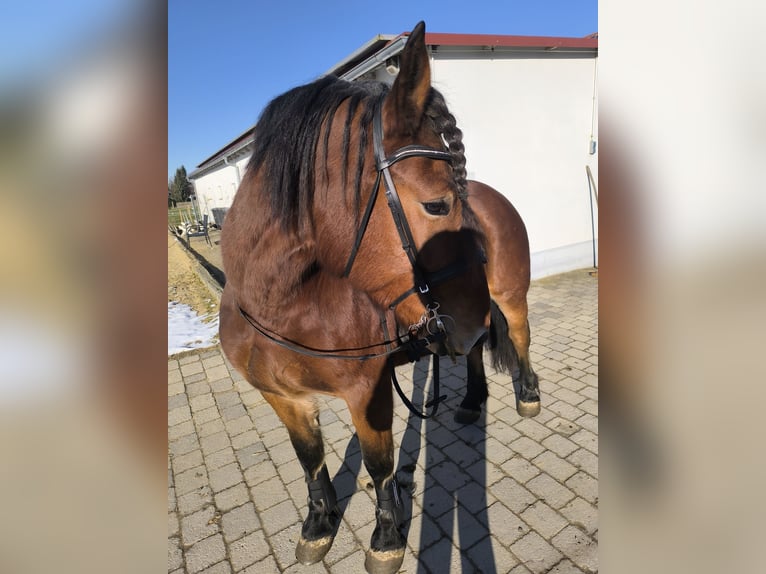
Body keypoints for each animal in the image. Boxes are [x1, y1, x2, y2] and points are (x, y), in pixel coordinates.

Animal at [219, 22, 488, 574]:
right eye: (437, 204)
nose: (470, 320)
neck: (282, 306)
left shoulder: (368, 389)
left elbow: (380, 462)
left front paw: (386, 535)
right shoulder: (283, 397)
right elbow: (310, 459)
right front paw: (320, 523)